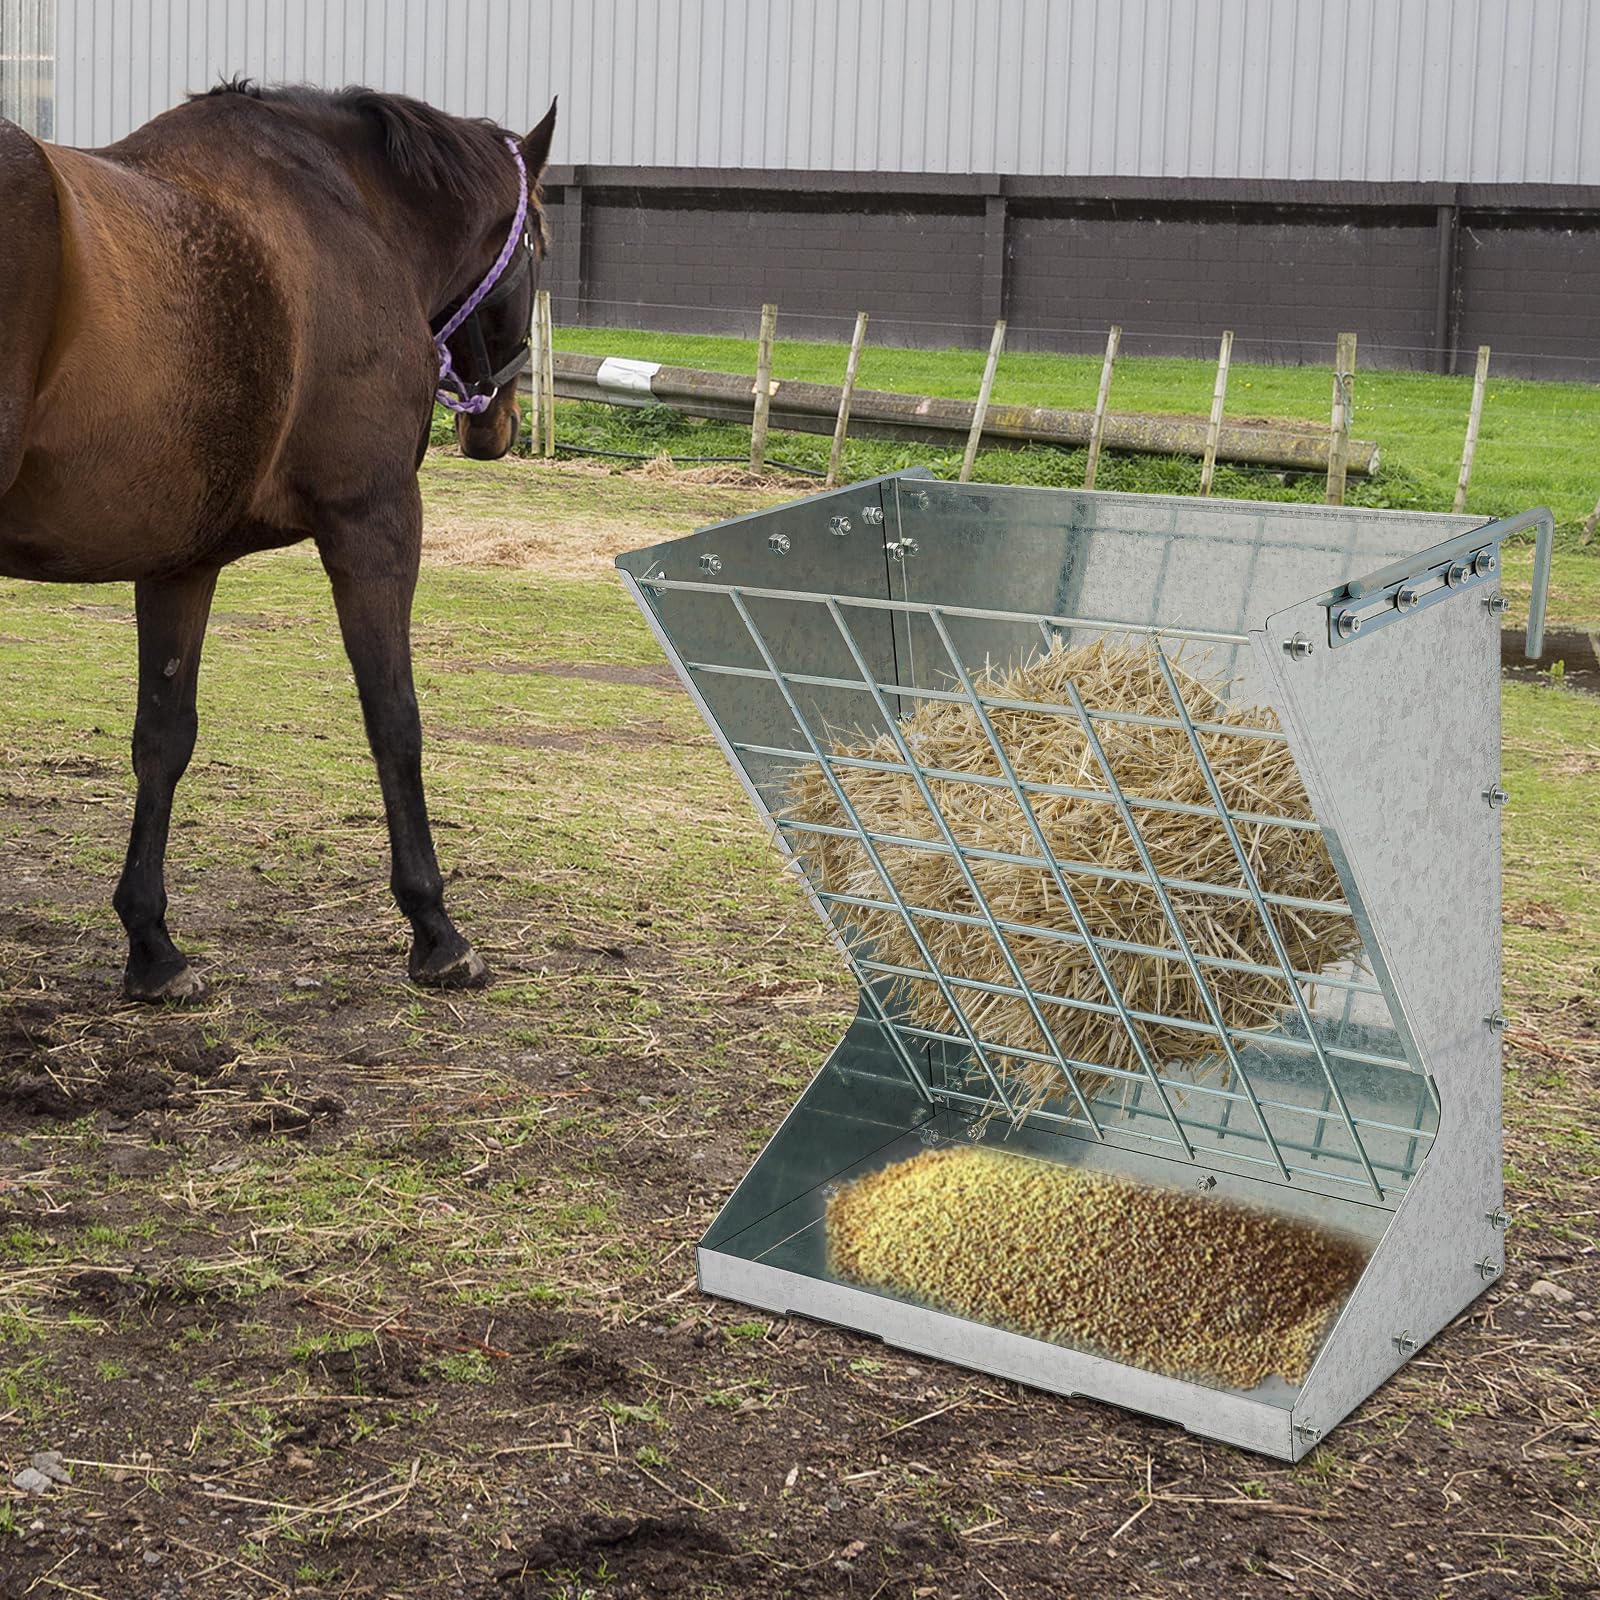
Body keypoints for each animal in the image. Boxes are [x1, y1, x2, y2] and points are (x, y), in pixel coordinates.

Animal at [0, 81, 556, 1000]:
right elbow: (394, 717)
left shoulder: (179, 562)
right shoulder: (374, 520)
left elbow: (163, 739)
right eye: (541, 247)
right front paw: (435, 929)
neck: (350, 209)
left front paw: (152, 945)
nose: (497, 423)